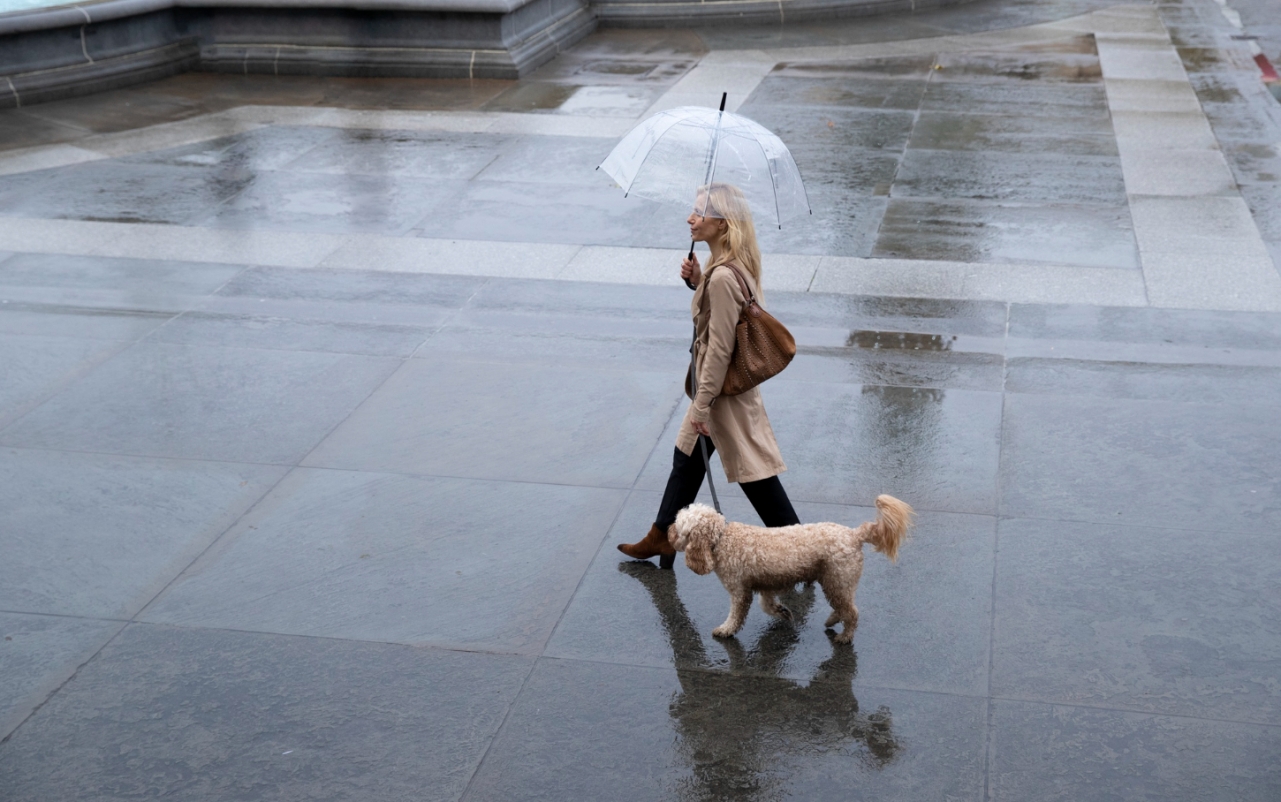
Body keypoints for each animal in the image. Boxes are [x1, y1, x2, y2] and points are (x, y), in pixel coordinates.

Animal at [671, 494, 912, 643]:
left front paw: (725, 630)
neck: (721, 539)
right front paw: (782, 612)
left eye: (679, 524)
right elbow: (767, 605)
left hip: (837, 579)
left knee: (851, 612)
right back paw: (833, 620)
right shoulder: (765, 584)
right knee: (843, 607)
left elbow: (736, 615)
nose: (668, 532)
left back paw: (845, 636)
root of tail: (854, 534)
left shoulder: (739, 591)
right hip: (836, 581)